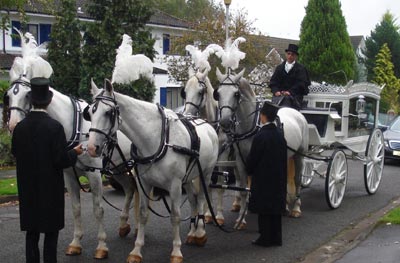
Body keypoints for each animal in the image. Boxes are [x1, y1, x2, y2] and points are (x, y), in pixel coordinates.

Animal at [87, 80, 219, 263]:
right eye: (89, 113)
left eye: (108, 112)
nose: (92, 148)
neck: (157, 139)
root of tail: (207, 124)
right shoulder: (144, 183)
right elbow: (143, 214)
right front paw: (136, 250)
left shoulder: (175, 185)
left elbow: (175, 216)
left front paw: (176, 251)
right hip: (187, 178)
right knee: (193, 199)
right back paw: (192, 233)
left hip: (205, 173)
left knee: (200, 199)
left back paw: (199, 233)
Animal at [214, 68, 308, 219]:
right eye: (218, 93)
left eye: (236, 94)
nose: (224, 122)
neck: (252, 124)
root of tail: (297, 113)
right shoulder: (241, 160)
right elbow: (243, 188)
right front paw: (242, 216)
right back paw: (286, 206)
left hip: (300, 155)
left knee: (297, 179)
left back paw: (296, 208)